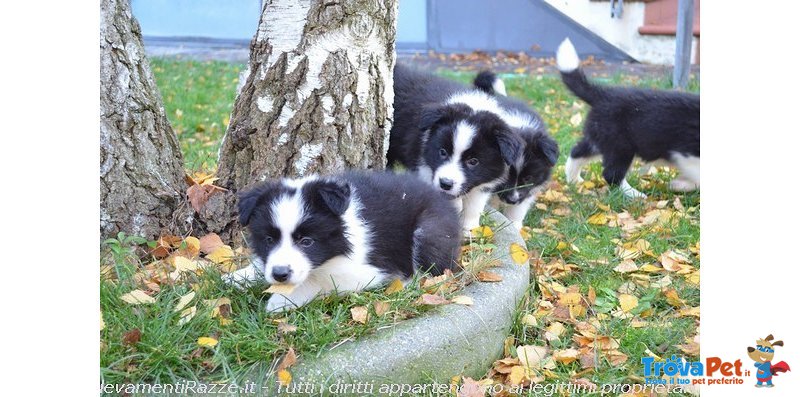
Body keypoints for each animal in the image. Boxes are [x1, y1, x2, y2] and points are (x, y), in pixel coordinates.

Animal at [227, 172, 462, 310]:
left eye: (306, 242)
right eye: (268, 239)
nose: (280, 274)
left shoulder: (365, 271)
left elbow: (322, 281)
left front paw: (280, 301)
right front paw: (236, 277)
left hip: (429, 230)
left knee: (436, 271)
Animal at [388, 63, 524, 234]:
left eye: (473, 161)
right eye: (442, 152)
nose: (445, 183)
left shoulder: (484, 179)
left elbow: (475, 204)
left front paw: (471, 228)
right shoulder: (423, 162)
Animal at [472, 69, 560, 227]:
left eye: (528, 177)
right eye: (506, 177)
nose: (512, 200)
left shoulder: (528, 189)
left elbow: (520, 205)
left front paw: (514, 223)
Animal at [556, 38, 700, 198]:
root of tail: (603, 95)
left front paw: (680, 184)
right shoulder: (687, 152)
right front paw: (680, 184)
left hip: (601, 138)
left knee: (577, 152)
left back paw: (574, 180)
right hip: (621, 145)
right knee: (611, 173)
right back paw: (635, 195)